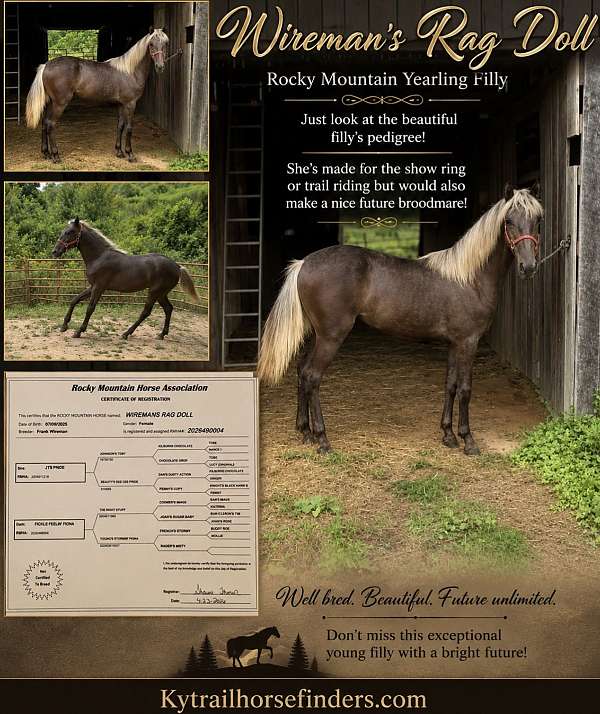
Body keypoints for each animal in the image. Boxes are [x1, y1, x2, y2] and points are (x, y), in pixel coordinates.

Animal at [25, 27, 169, 163]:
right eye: (151, 44)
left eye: (165, 43)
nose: (160, 67)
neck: (130, 71)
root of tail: (46, 65)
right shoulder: (130, 104)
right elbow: (129, 128)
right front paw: (130, 154)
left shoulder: (121, 105)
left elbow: (120, 126)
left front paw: (119, 152)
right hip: (59, 103)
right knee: (51, 124)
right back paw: (55, 156)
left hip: (50, 102)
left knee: (44, 123)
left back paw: (46, 153)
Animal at [51, 217, 199, 340]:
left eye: (69, 232)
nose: (55, 251)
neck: (99, 257)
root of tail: (177, 266)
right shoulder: (93, 286)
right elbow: (74, 300)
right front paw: (64, 326)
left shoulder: (99, 287)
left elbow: (90, 308)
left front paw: (78, 332)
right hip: (161, 294)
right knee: (168, 309)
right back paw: (161, 334)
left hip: (154, 292)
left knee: (146, 312)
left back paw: (126, 333)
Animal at [257, 184, 543, 456]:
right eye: (509, 221)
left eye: (538, 220)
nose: (528, 267)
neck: (469, 278)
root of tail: (304, 263)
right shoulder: (468, 342)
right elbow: (465, 389)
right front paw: (468, 441)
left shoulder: (454, 343)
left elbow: (450, 385)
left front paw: (448, 435)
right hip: (331, 337)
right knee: (312, 376)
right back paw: (323, 440)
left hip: (316, 335)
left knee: (301, 371)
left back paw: (305, 431)